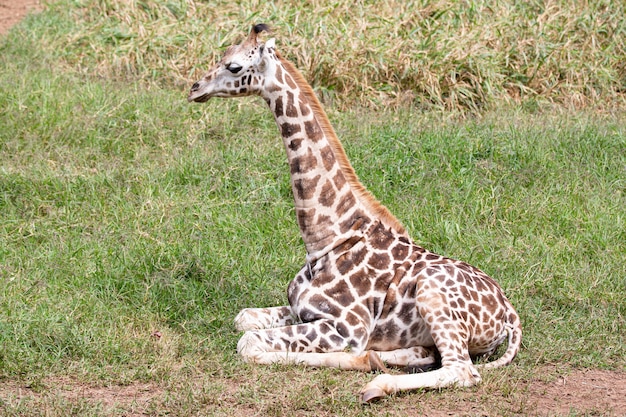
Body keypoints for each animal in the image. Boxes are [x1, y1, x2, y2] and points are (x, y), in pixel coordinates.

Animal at [188, 24, 520, 402]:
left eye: (233, 66)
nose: (195, 88)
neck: (326, 236)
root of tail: (509, 313)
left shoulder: (346, 327)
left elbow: (248, 343)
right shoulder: (302, 310)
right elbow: (242, 319)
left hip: (432, 294)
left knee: (461, 370)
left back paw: (376, 382)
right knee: (430, 355)